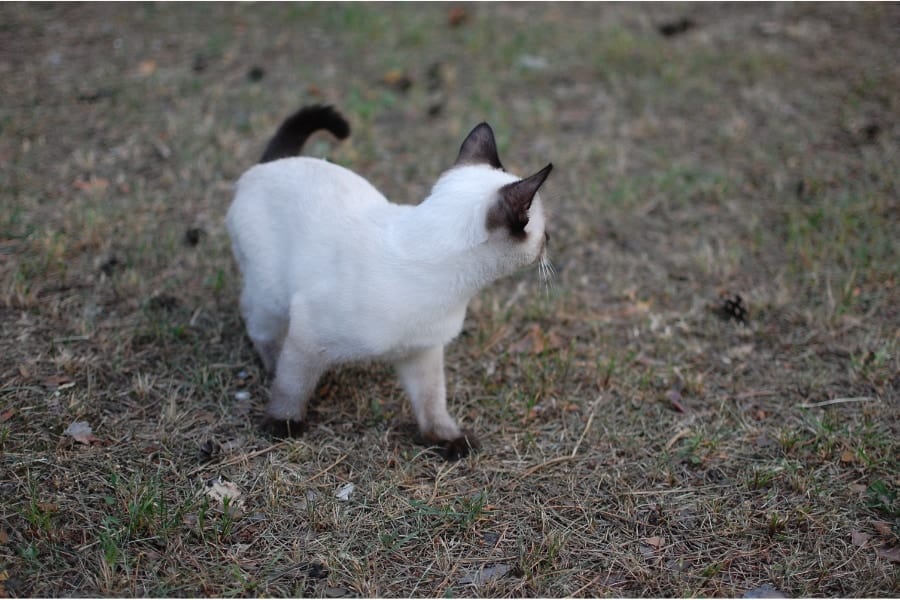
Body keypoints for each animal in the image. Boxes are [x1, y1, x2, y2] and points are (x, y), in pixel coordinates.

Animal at [227, 104, 548, 460]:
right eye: (543, 232)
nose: (549, 242)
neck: (450, 290)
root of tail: (272, 163)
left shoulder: (422, 352)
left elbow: (432, 403)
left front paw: (447, 441)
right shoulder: (308, 335)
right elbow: (291, 385)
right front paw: (283, 424)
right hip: (270, 295)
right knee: (263, 332)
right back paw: (275, 370)